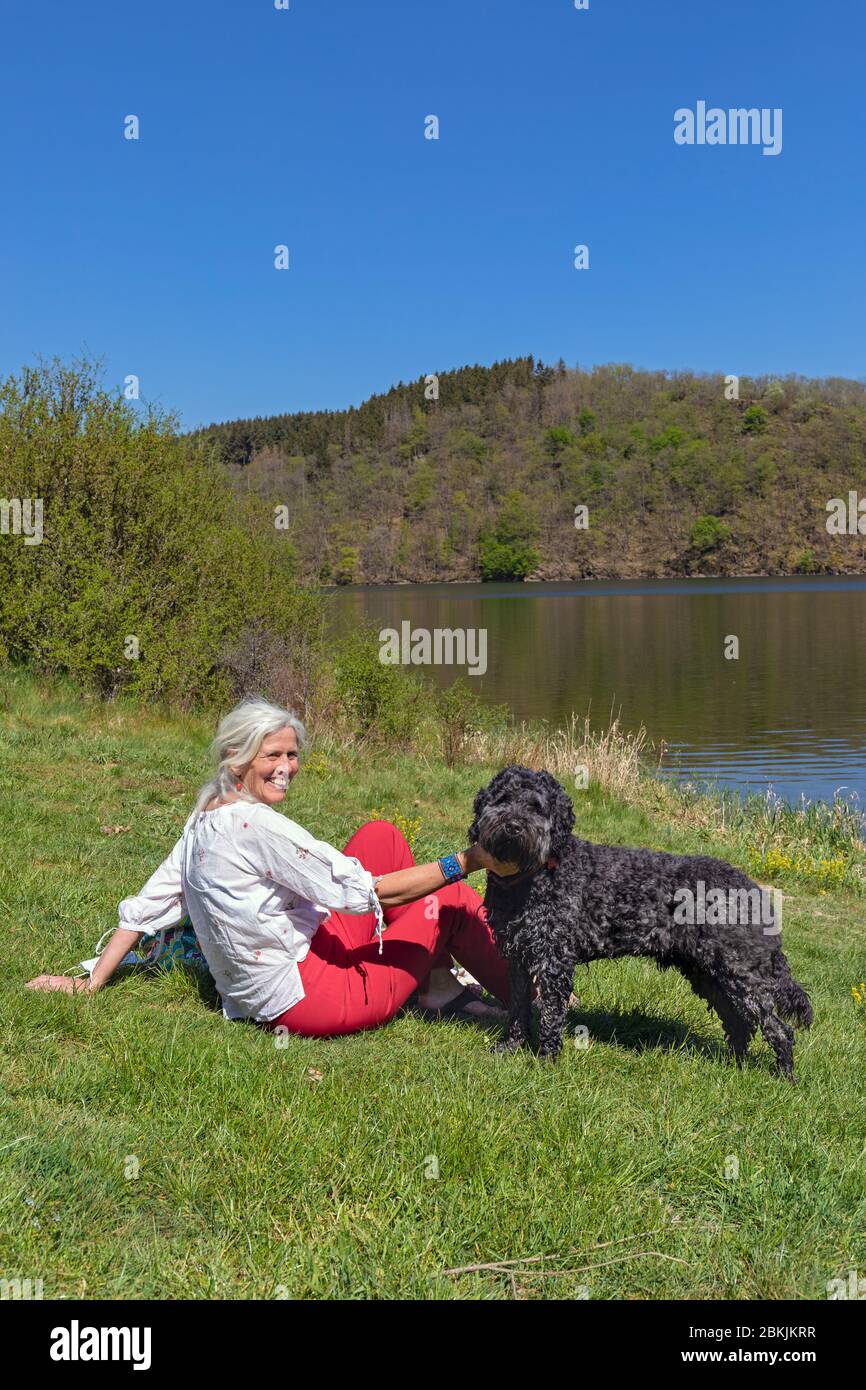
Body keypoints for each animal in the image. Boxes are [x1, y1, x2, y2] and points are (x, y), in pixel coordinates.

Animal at [467, 767, 811, 1078]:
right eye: (503, 799)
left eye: (536, 806)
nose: (513, 825)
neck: (532, 875)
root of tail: (753, 890)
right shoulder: (517, 959)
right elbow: (517, 1007)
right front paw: (511, 1046)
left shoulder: (554, 962)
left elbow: (551, 1014)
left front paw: (546, 1059)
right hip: (708, 975)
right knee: (740, 1023)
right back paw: (734, 1065)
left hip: (741, 975)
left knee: (778, 1029)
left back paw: (785, 1076)